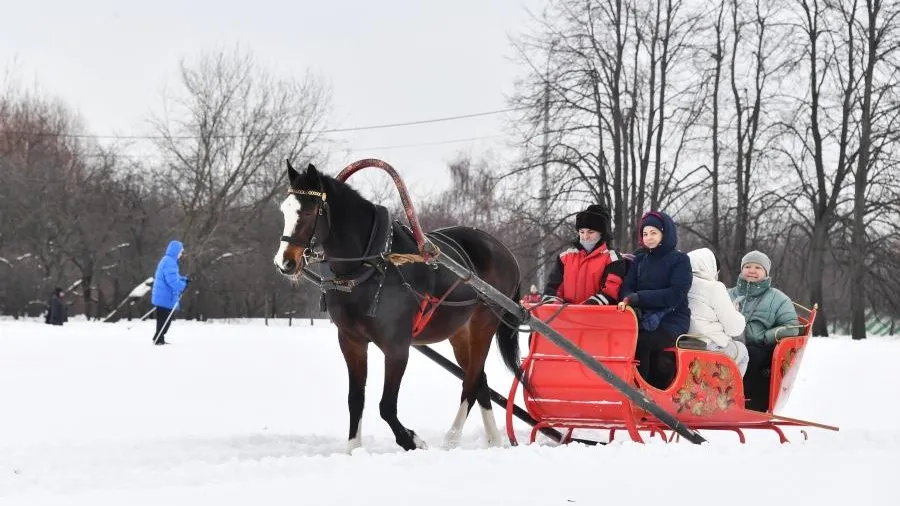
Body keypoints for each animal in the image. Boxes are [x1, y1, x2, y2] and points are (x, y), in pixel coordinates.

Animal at [276, 162, 528, 450]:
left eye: (308, 211)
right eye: (284, 209)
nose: (284, 263)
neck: (373, 265)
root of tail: (503, 250)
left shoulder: (397, 347)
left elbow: (386, 406)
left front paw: (412, 440)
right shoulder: (351, 341)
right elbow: (356, 399)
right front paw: (353, 448)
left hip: (484, 322)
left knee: (472, 380)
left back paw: (452, 437)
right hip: (459, 332)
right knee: (480, 380)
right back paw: (494, 440)